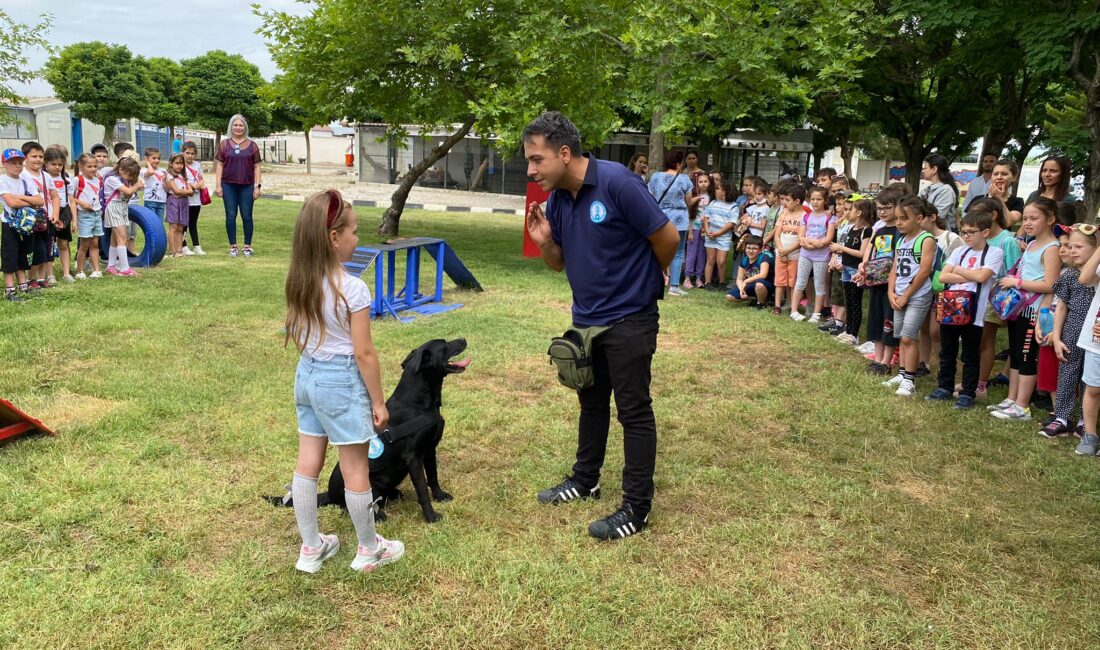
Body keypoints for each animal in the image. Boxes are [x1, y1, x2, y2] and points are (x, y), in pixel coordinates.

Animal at [270, 338, 473, 525]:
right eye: (445, 345)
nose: (464, 339)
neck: (419, 402)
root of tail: (329, 494)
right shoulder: (413, 457)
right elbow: (422, 489)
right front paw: (431, 516)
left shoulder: (430, 449)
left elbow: (433, 476)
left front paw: (439, 496)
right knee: (351, 507)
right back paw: (378, 515)